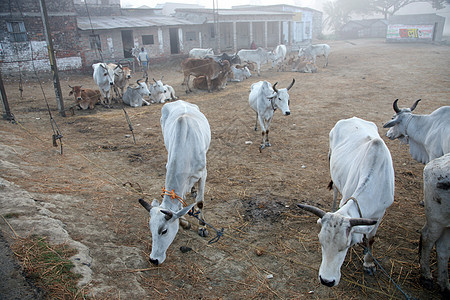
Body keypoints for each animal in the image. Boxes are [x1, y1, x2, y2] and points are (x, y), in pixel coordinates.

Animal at [138, 101, 212, 264]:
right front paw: (184, 222)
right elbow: (180, 201)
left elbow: (200, 202)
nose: (153, 260)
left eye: (164, 230)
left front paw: (202, 227)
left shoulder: (203, 173)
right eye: (151, 229)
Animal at [298, 116, 394, 286]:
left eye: (345, 246)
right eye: (321, 242)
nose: (326, 281)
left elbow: (371, 239)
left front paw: (368, 263)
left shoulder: (380, 213)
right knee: (336, 190)